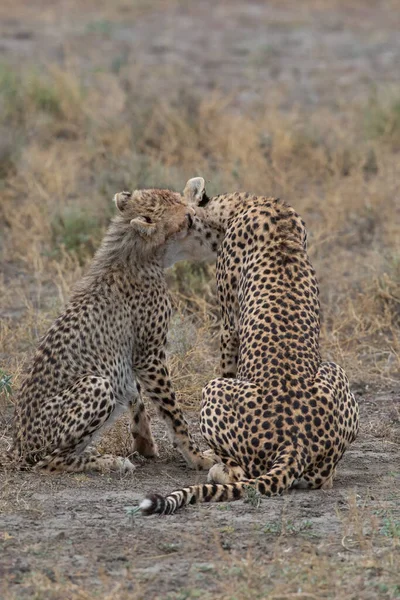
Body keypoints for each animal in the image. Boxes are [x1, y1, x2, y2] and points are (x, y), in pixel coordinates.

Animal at [12, 188, 217, 474]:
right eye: (186, 217)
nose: (199, 210)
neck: (135, 254)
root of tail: (17, 447)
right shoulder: (150, 355)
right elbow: (173, 413)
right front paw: (197, 457)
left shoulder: (134, 356)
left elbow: (136, 397)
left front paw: (145, 444)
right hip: (96, 384)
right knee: (49, 462)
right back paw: (109, 461)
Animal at [141, 178, 360, 516]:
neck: (247, 203)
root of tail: (295, 442)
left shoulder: (230, 327)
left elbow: (227, 362)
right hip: (335, 372)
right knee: (324, 479)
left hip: (214, 389)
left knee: (242, 473)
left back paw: (217, 469)